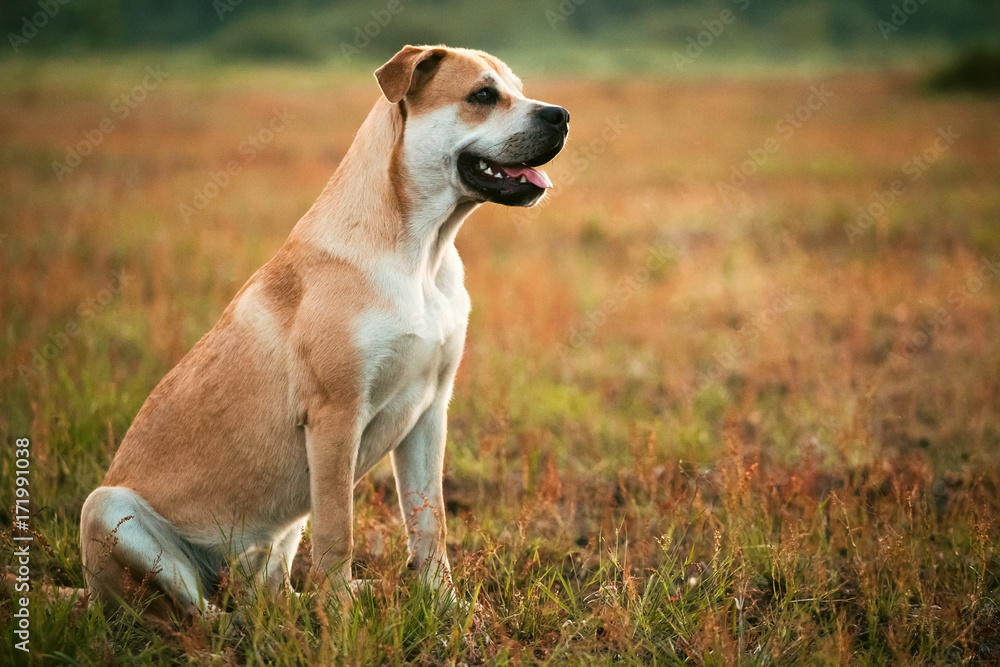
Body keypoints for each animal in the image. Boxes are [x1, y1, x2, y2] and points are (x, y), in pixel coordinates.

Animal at [80, 45, 572, 620]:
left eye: (517, 89)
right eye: (483, 95)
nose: (561, 115)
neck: (421, 251)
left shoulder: (430, 413)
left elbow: (431, 524)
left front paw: (446, 607)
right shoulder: (336, 416)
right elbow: (340, 531)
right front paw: (342, 617)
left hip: (281, 531)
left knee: (266, 586)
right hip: (106, 507)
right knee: (196, 612)